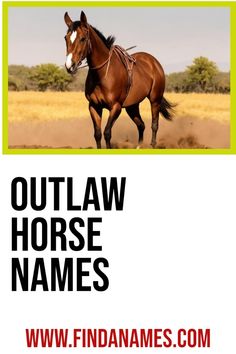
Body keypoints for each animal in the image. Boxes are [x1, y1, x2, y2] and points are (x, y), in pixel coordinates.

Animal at [63, 10, 174, 148]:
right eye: (66, 38)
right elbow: (97, 134)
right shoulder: (94, 106)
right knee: (141, 125)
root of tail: (154, 62)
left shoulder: (116, 107)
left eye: (83, 39)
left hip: (155, 100)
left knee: (154, 125)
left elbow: (107, 133)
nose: (69, 65)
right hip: (132, 106)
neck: (102, 75)